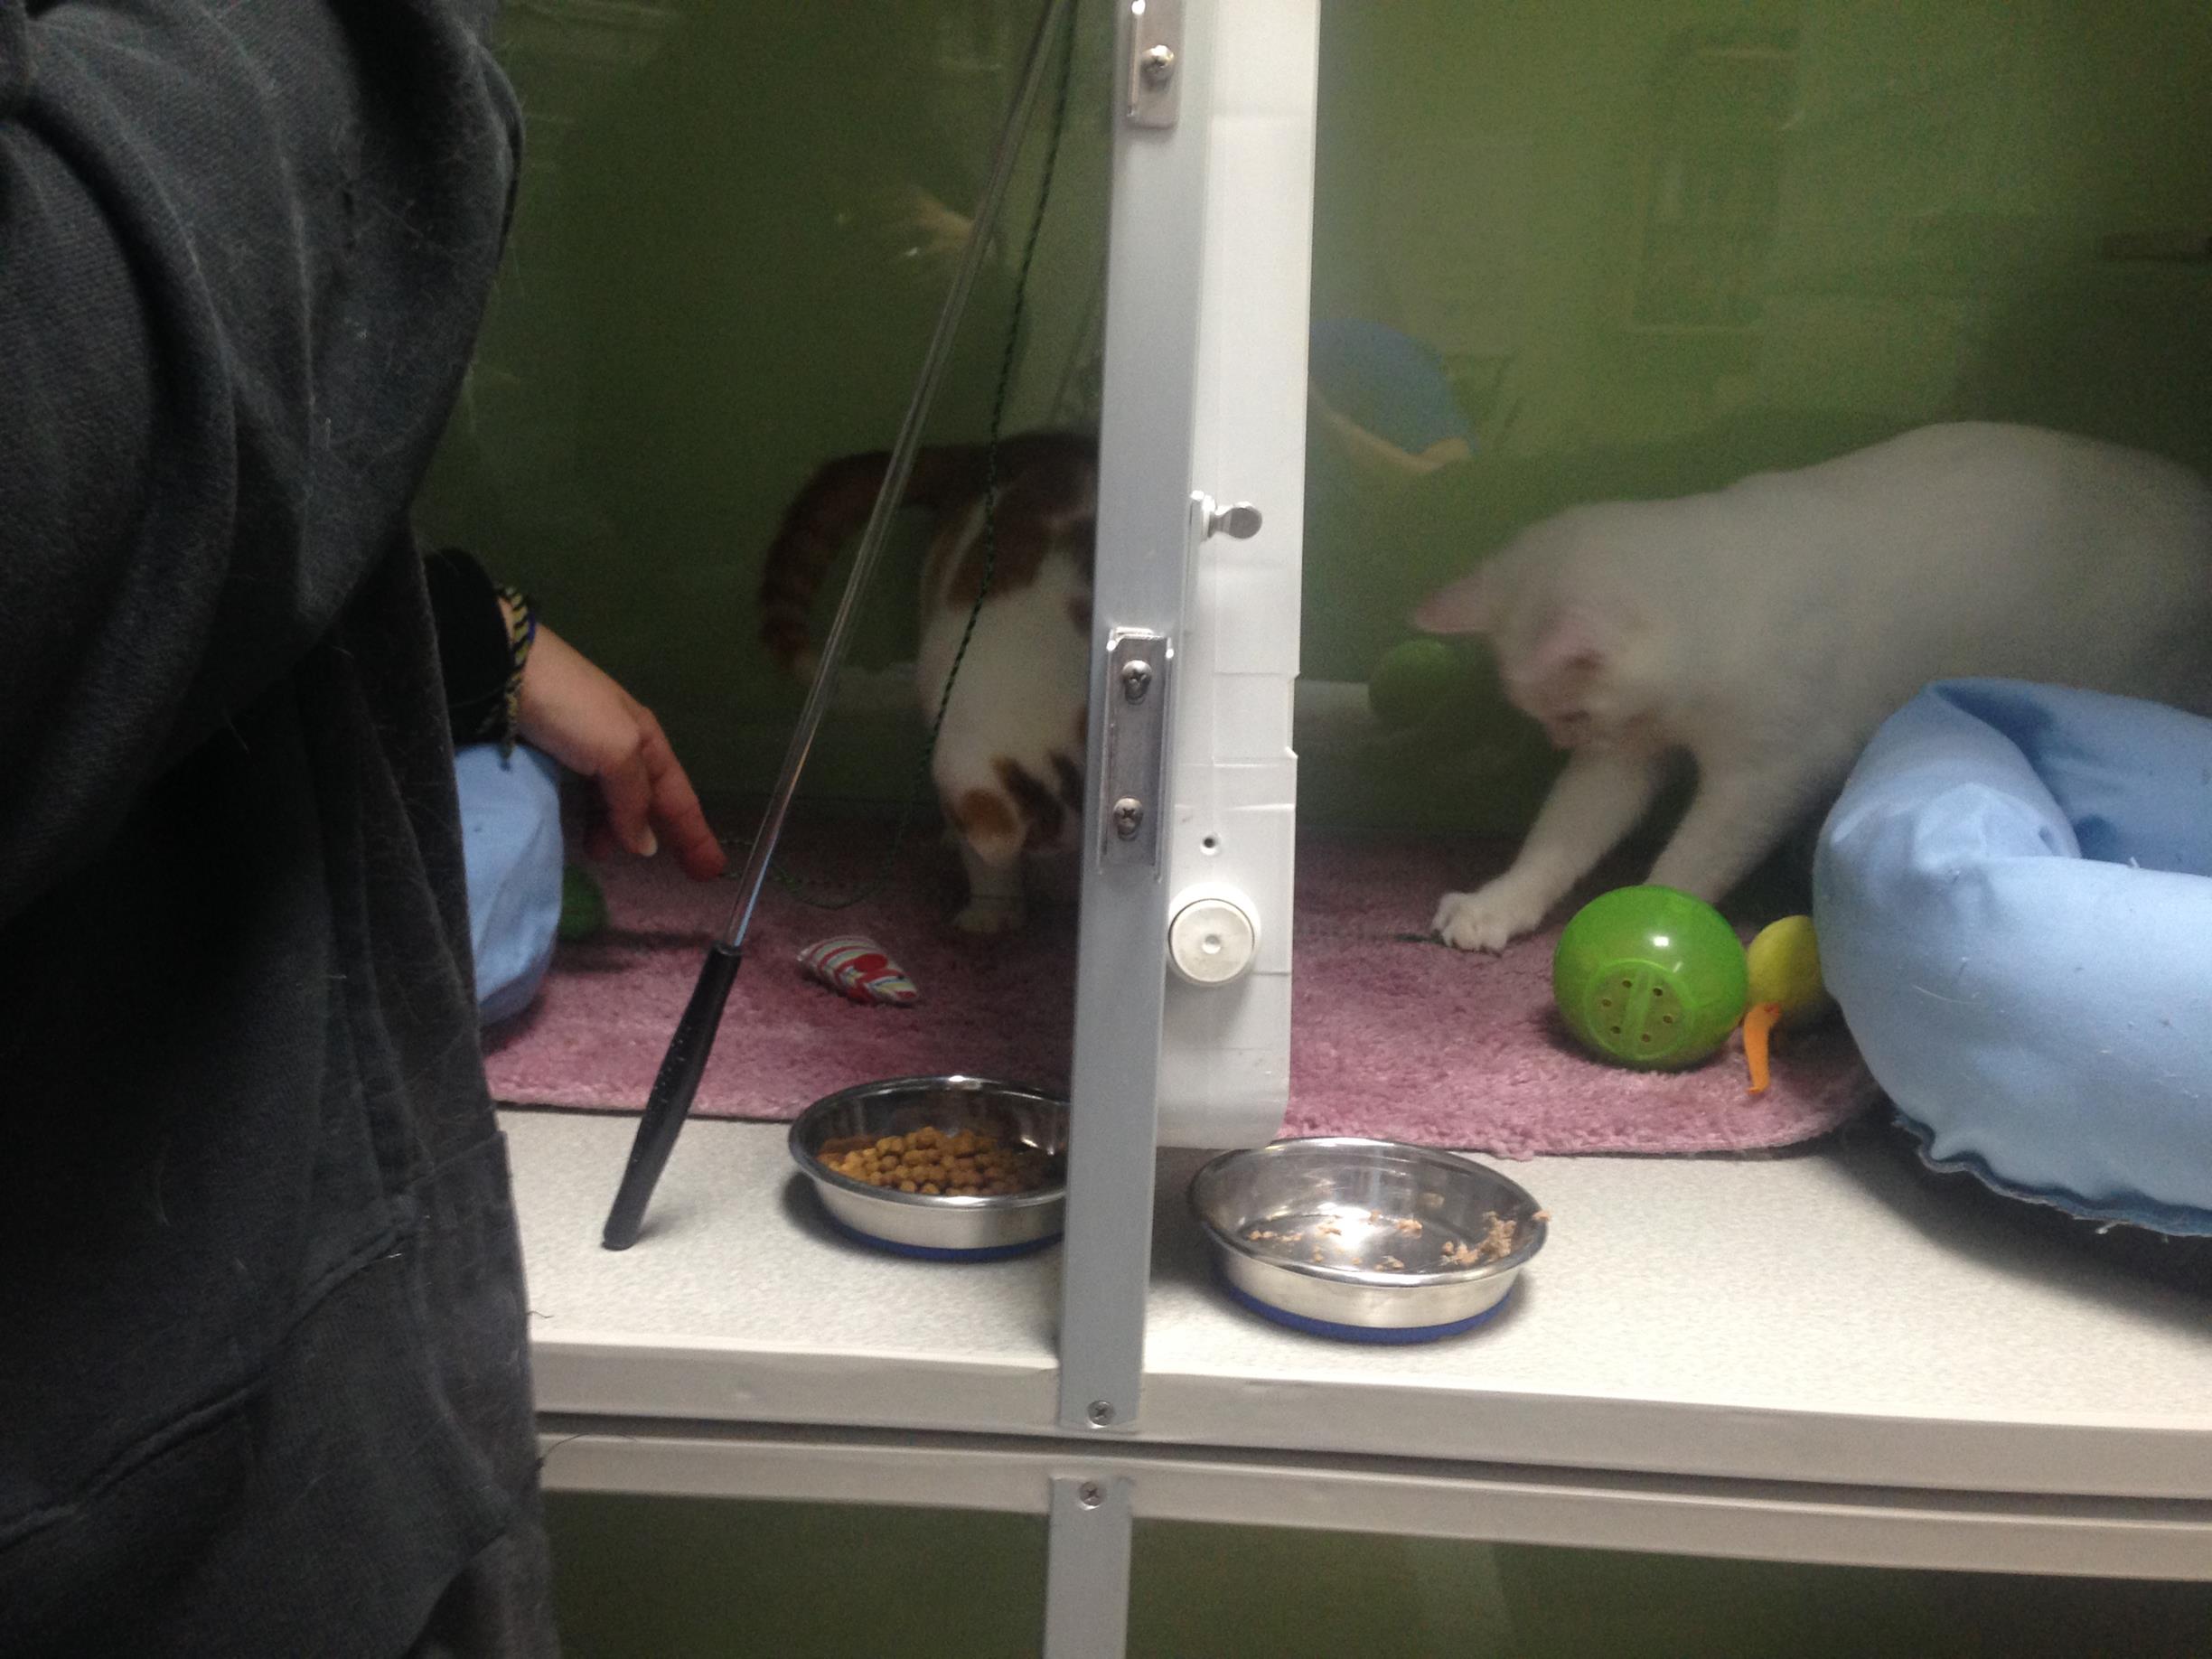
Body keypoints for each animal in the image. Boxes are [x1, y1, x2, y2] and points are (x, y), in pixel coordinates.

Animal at [1415, 422, 2212, 955]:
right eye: (1549, 718)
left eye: (1571, 713)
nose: (1560, 741)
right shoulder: (1626, 756)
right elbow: (1559, 839)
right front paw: (1499, 904)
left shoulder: (1768, 774)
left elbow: (1688, 861)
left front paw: (1655, 921)